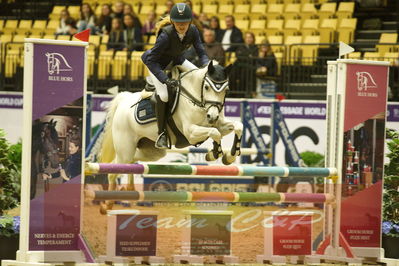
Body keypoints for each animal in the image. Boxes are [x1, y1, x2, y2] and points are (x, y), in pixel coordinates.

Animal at [100, 61, 244, 213]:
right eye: (206, 87)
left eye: (226, 89)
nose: (213, 116)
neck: (196, 100)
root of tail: (123, 100)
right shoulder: (190, 132)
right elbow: (215, 132)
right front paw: (215, 153)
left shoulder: (220, 125)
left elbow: (236, 126)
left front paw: (230, 155)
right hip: (125, 149)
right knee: (114, 170)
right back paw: (107, 204)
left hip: (152, 151)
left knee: (131, 162)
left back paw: (128, 188)